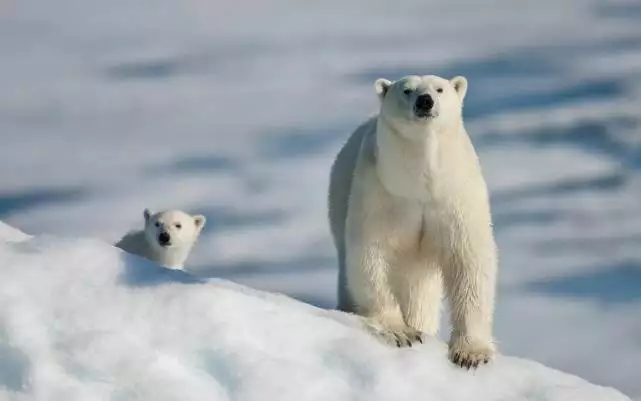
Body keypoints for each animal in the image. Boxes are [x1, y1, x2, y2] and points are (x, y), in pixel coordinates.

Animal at [328, 73, 498, 368]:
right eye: (407, 90)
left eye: (439, 89)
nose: (425, 101)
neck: (421, 184)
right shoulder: (382, 193)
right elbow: (371, 256)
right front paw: (401, 332)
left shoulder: (455, 196)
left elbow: (469, 260)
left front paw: (471, 353)